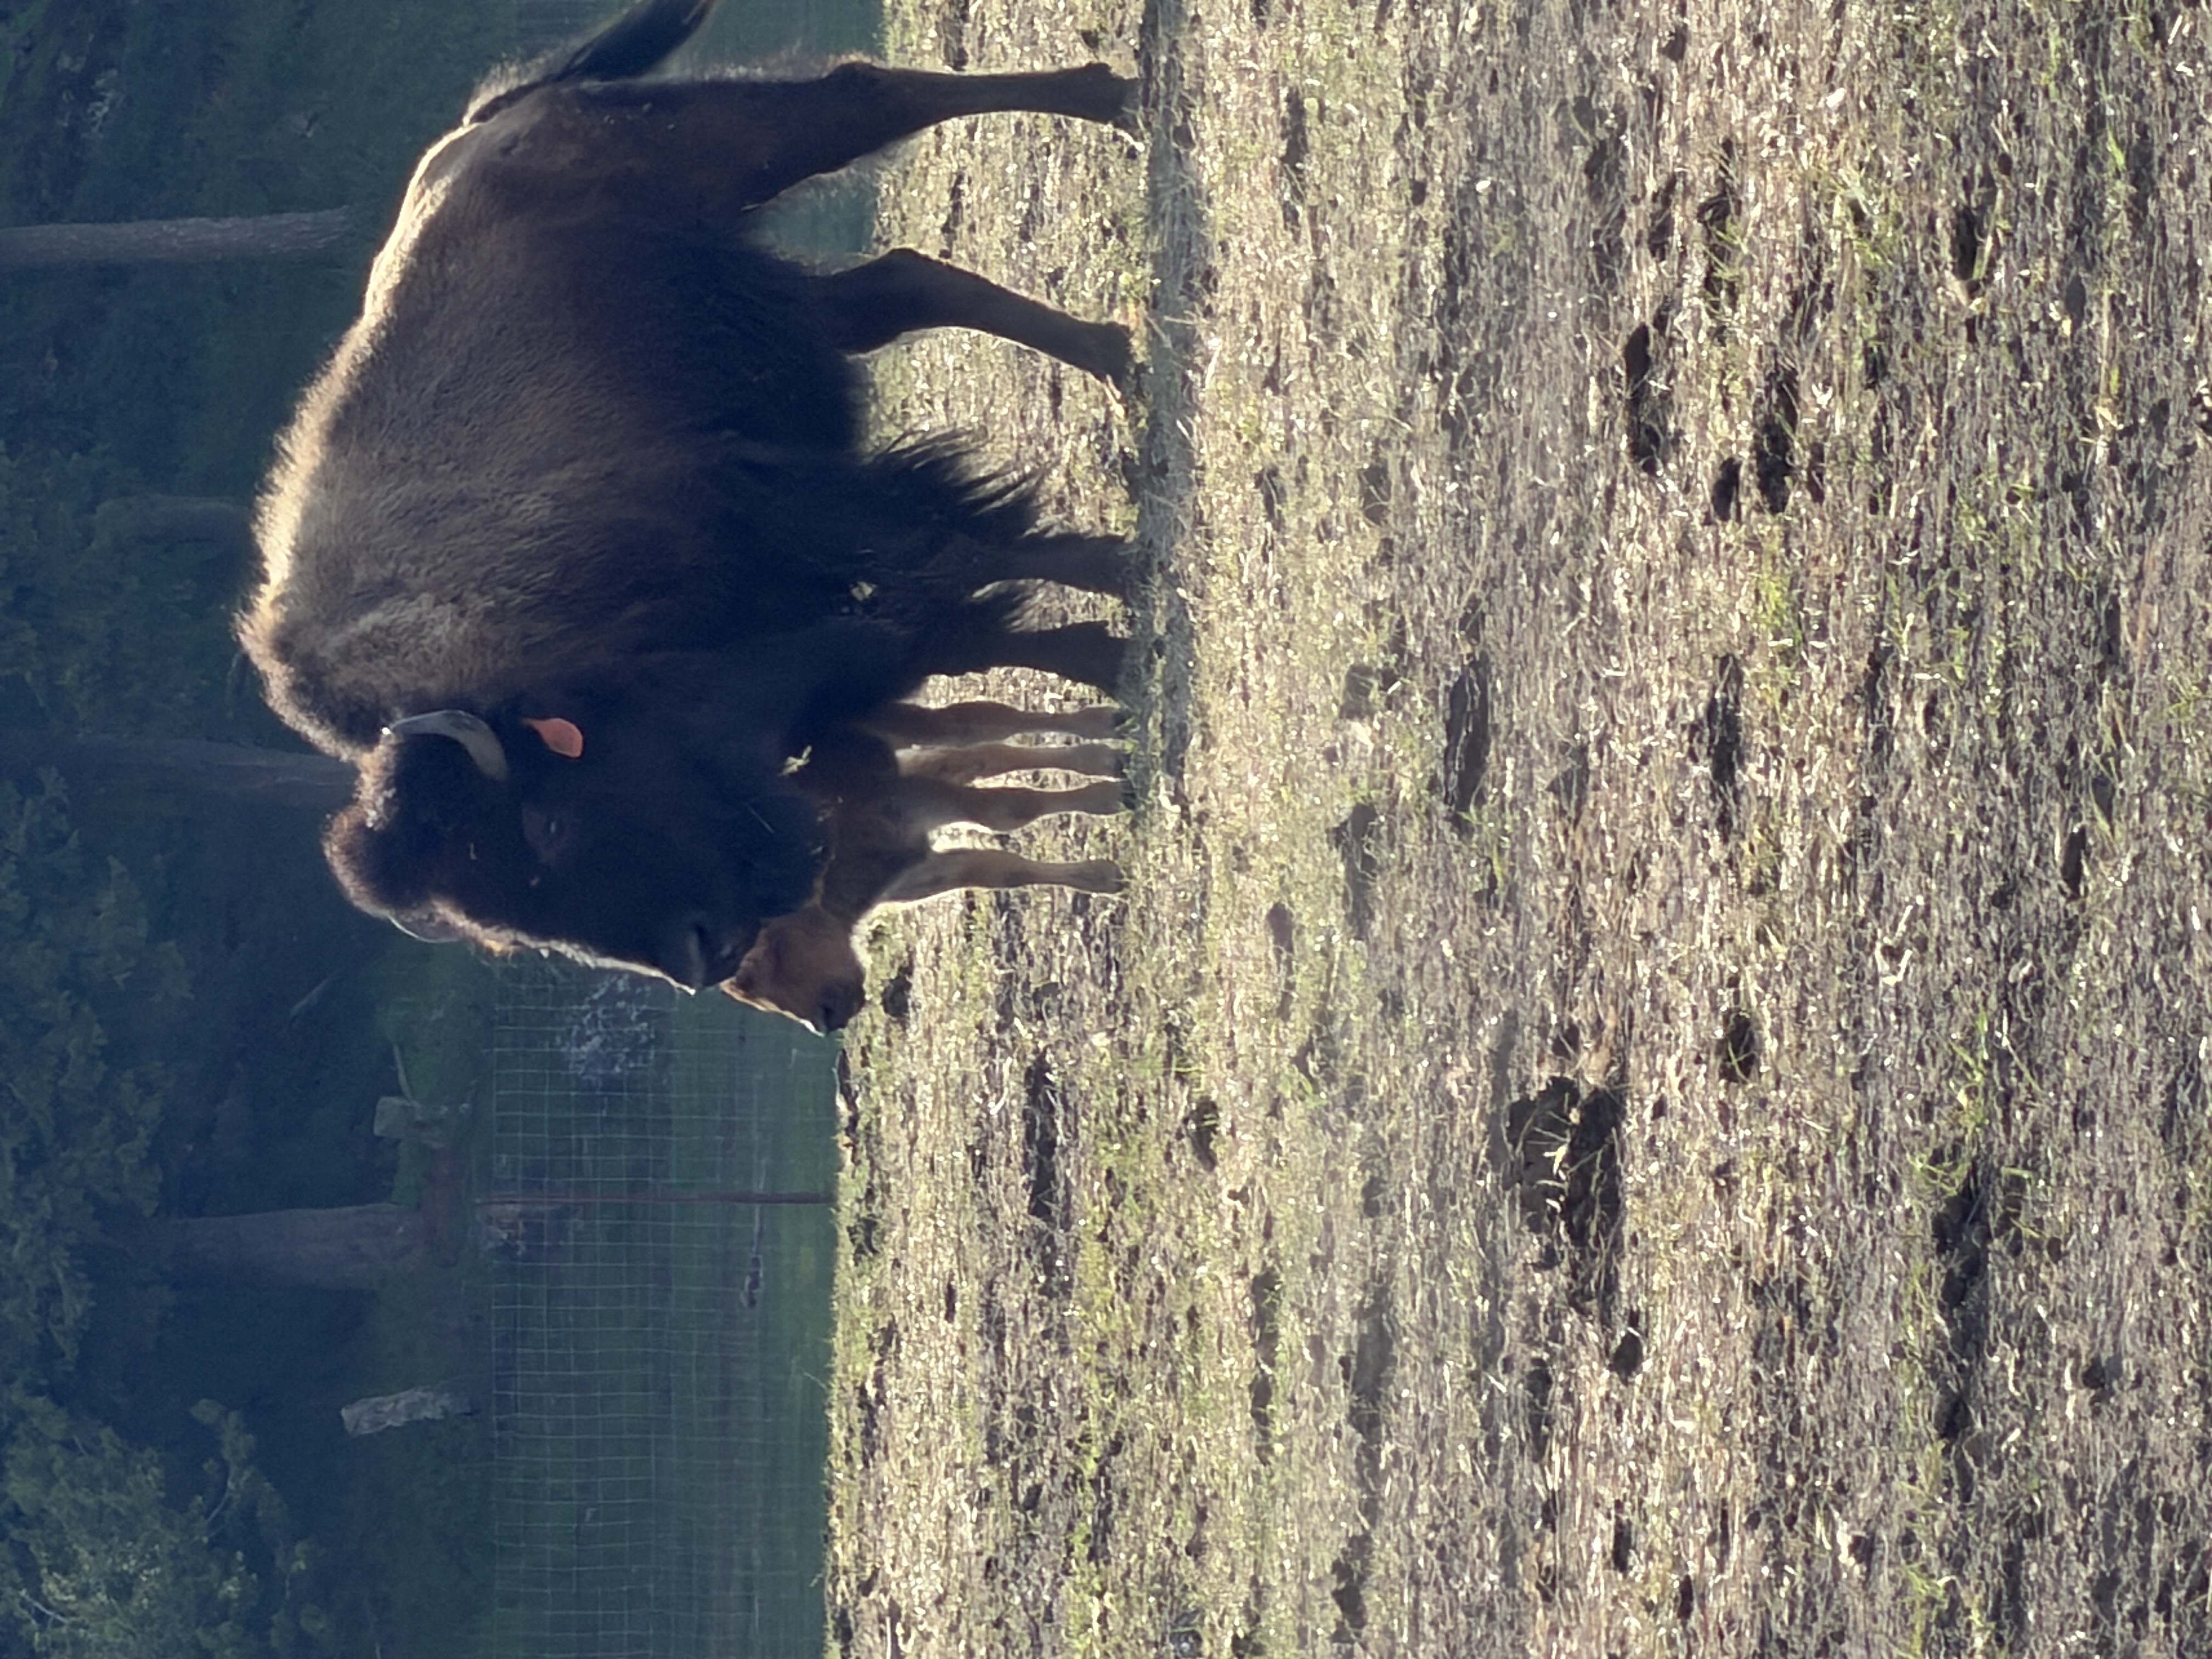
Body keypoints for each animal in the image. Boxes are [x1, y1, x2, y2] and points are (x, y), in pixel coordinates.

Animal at [240, 0, 1140, 985]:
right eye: (510, 925)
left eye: (545, 826)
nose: (699, 954)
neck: (510, 667)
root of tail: (473, 133)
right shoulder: (810, 629)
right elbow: (965, 625)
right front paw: (1110, 657)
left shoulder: (773, 503)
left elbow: (955, 553)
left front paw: (1126, 590)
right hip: (773, 303)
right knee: (903, 281)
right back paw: (1115, 350)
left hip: (738, 150)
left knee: (871, 98)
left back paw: (1118, 106)